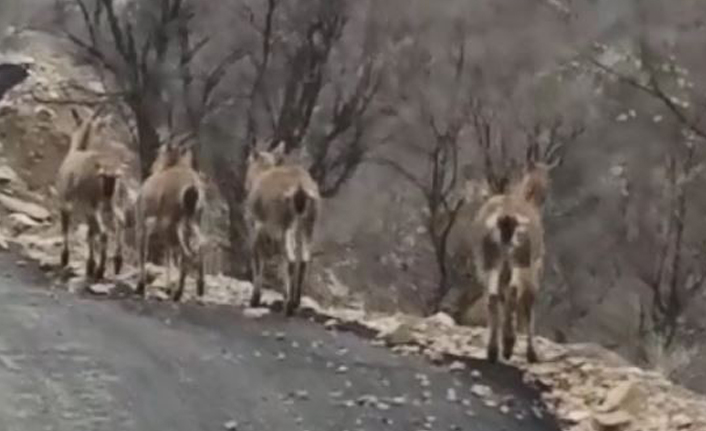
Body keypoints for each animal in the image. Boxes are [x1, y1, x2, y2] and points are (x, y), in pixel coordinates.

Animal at [57, 108, 125, 280]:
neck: (80, 148)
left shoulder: (66, 201)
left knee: (104, 232)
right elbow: (90, 233)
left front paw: (65, 258)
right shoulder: (86, 207)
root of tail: (109, 174)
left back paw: (101, 270)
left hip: (94, 204)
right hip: (111, 202)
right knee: (120, 221)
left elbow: (66, 227)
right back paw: (117, 262)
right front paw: (89, 265)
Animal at [133, 140, 204, 302]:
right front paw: (166, 288)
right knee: (200, 246)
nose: (152, 166)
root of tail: (191, 189)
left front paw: (140, 286)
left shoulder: (142, 222)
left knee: (186, 254)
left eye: (159, 152)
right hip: (192, 220)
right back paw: (200, 288)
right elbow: (168, 256)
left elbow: (144, 252)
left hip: (172, 224)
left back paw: (178, 293)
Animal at [243, 143, 318, 316]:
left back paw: (288, 305)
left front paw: (255, 299)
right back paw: (295, 302)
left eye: (247, 160)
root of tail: (301, 191)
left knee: (290, 258)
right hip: (307, 223)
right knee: (304, 258)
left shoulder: (256, 226)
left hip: (287, 224)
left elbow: (258, 257)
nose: (244, 184)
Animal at [470, 155, 552, 364]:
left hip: (489, 261)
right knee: (515, 292)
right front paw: (532, 354)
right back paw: (507, 345)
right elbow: (529, 305)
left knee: (493, 296)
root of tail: (506, 220)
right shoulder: (535, 269)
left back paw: (493, 351)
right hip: (520, 261)